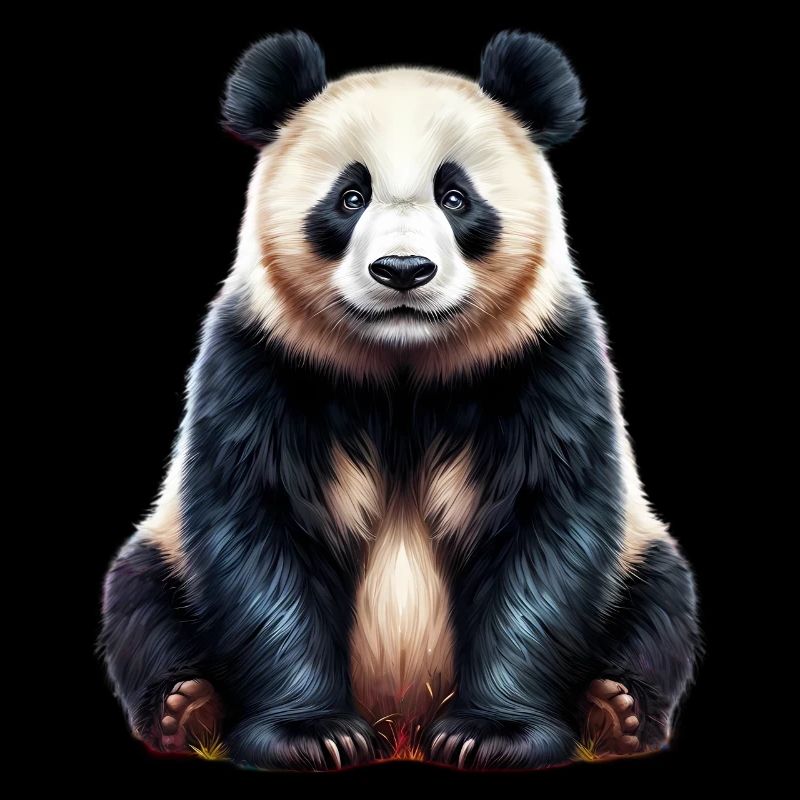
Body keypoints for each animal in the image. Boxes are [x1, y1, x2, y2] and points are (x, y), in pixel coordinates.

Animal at [100, 30, 699, 770]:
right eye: (350, 196)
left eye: (456, 197)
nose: (404, 270)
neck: (402, 364)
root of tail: (401, 721)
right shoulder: (261, 361)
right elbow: (261, 529)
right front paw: (311, 736)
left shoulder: (544, 362)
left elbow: (545, 529)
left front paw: (491, 736)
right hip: (167, 552)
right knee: (139, 599)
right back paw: (185, 709)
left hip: (637, 555)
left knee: (662, 602)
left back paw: (617, 712)